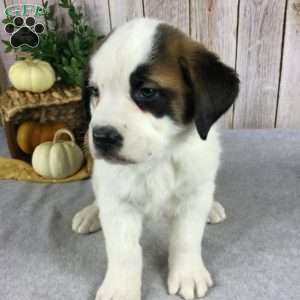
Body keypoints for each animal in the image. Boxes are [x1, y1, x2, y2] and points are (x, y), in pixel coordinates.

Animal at [71, 17, 238, 300]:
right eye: (94, 91)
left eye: (147, 91)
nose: (102, 136)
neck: (158, 159)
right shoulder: (118, 203)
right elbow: (124, 251)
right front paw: (120, 288)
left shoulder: (192, 198)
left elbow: (186, 238)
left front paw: (187, 273)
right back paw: (91, 213)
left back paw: (212, 207)